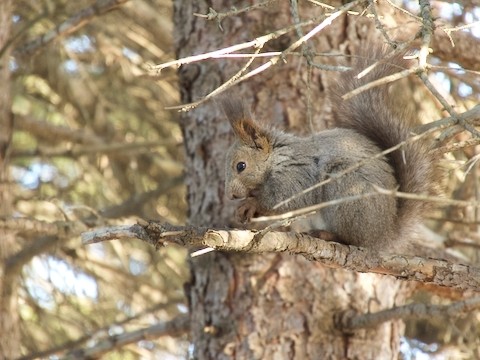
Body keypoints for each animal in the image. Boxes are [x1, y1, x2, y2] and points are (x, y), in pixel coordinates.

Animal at [221, 46, 438, 252]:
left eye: (241, 166)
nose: (230, 196)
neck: (277, 157)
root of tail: (383, 236)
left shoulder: (296, 176)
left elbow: (285, 201)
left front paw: (252, 204)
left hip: (347, 192)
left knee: (352, 239)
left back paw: (329, 236)